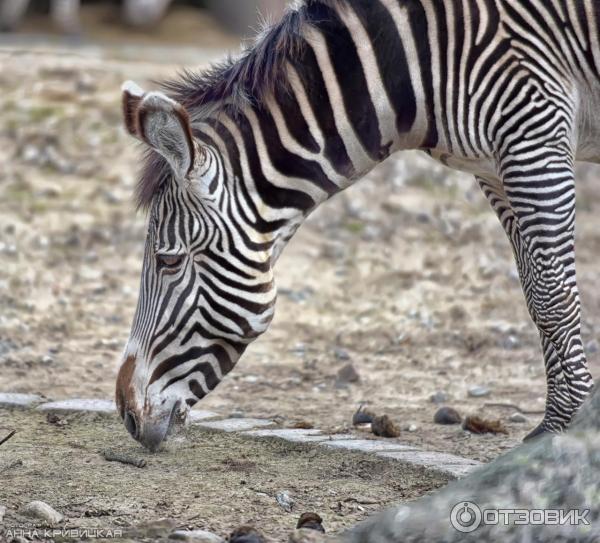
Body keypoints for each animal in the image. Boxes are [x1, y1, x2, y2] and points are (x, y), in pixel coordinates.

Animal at [117, 0, 600, 450]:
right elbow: (534, 292)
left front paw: (565, 428)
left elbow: (552, 295)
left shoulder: (534, 133)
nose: (126, 413)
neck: (414, 60)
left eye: (168, 260)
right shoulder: (494, 166)